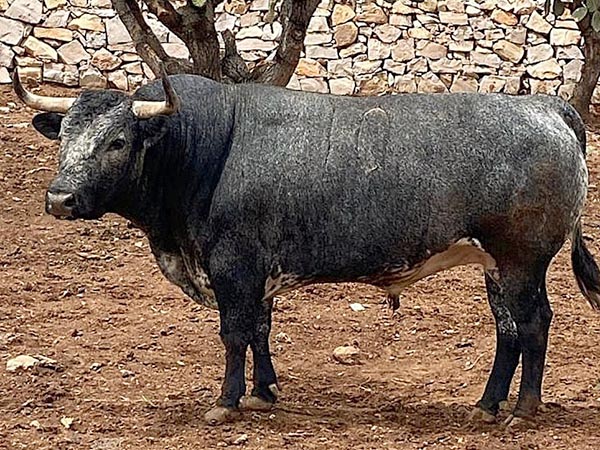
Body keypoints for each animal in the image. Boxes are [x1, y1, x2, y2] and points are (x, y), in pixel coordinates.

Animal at [14, 68, 600, 428]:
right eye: (63, 136)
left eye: (117, 141)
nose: (60, 198)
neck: (205, 147)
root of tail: (547, 107)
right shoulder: (257, 275)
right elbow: (259, 331)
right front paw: (263, 392)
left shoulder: (234, 268)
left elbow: (234, 334)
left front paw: (226, 402)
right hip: (494, 266)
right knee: (508, 331)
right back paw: (487, 405)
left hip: (522, 262)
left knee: (533, 325)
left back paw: (523, 409)